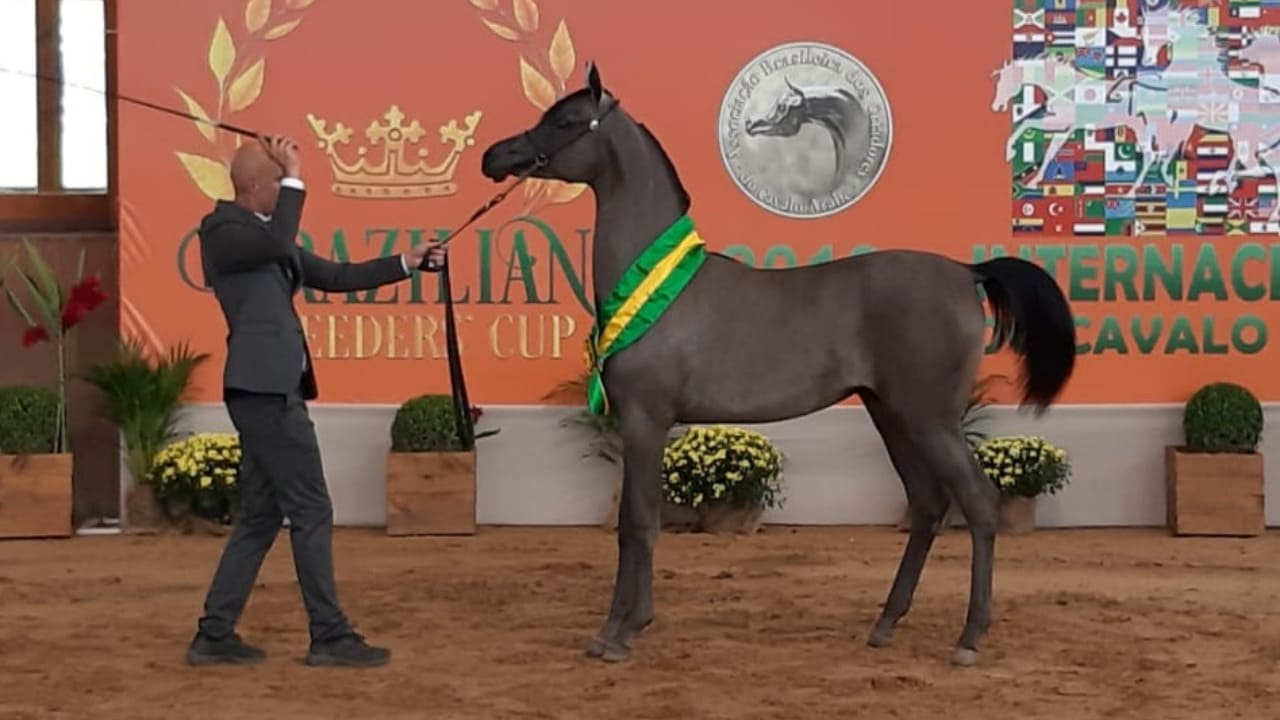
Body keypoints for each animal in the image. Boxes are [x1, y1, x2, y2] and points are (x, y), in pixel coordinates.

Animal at [479, 62, 1078, 667]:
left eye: (566, 121)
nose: (494, 157)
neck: (658, 282)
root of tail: (965, 272)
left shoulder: (646, 421)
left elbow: (638, 523)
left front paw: (619, 632)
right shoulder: (642, 424)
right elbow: (633, 520)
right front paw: (621, 627)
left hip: (930, 418)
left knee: (977, 503)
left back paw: (969, 638)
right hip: (892, 415)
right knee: (929, 504)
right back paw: (885, 623)